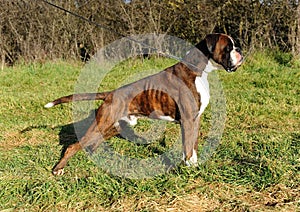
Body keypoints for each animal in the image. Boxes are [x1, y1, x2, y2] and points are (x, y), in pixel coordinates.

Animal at [46, 33, 244, 176]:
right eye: (228, 48)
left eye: (234, 45)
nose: (240, 50)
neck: (197, 70)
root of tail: (110, 94)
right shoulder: (188, 120)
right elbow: (188, 147)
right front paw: (189, 169)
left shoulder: (195, 120)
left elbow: (192, 145)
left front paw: (194, 165)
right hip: (104, 123)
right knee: (73, 146)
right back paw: (58, 169)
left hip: (115, 126)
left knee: (91, 144)